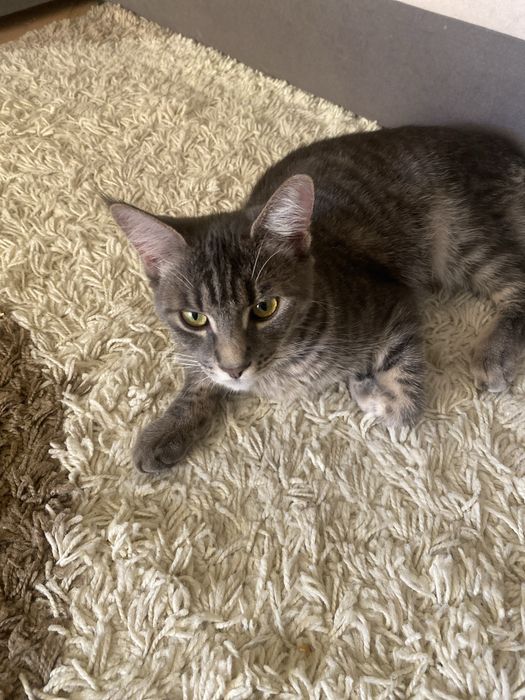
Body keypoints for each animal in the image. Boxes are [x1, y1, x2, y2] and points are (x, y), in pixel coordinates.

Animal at [108, 126, 525, 474]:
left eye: (264, 307)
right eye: (194, 317)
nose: (235, 367)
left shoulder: (393, 302)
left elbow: (401, 402)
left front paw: (372, 392)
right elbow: (200, 374)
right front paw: (168, 427)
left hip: (457, 236)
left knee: (517, 278)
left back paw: (495, 354)